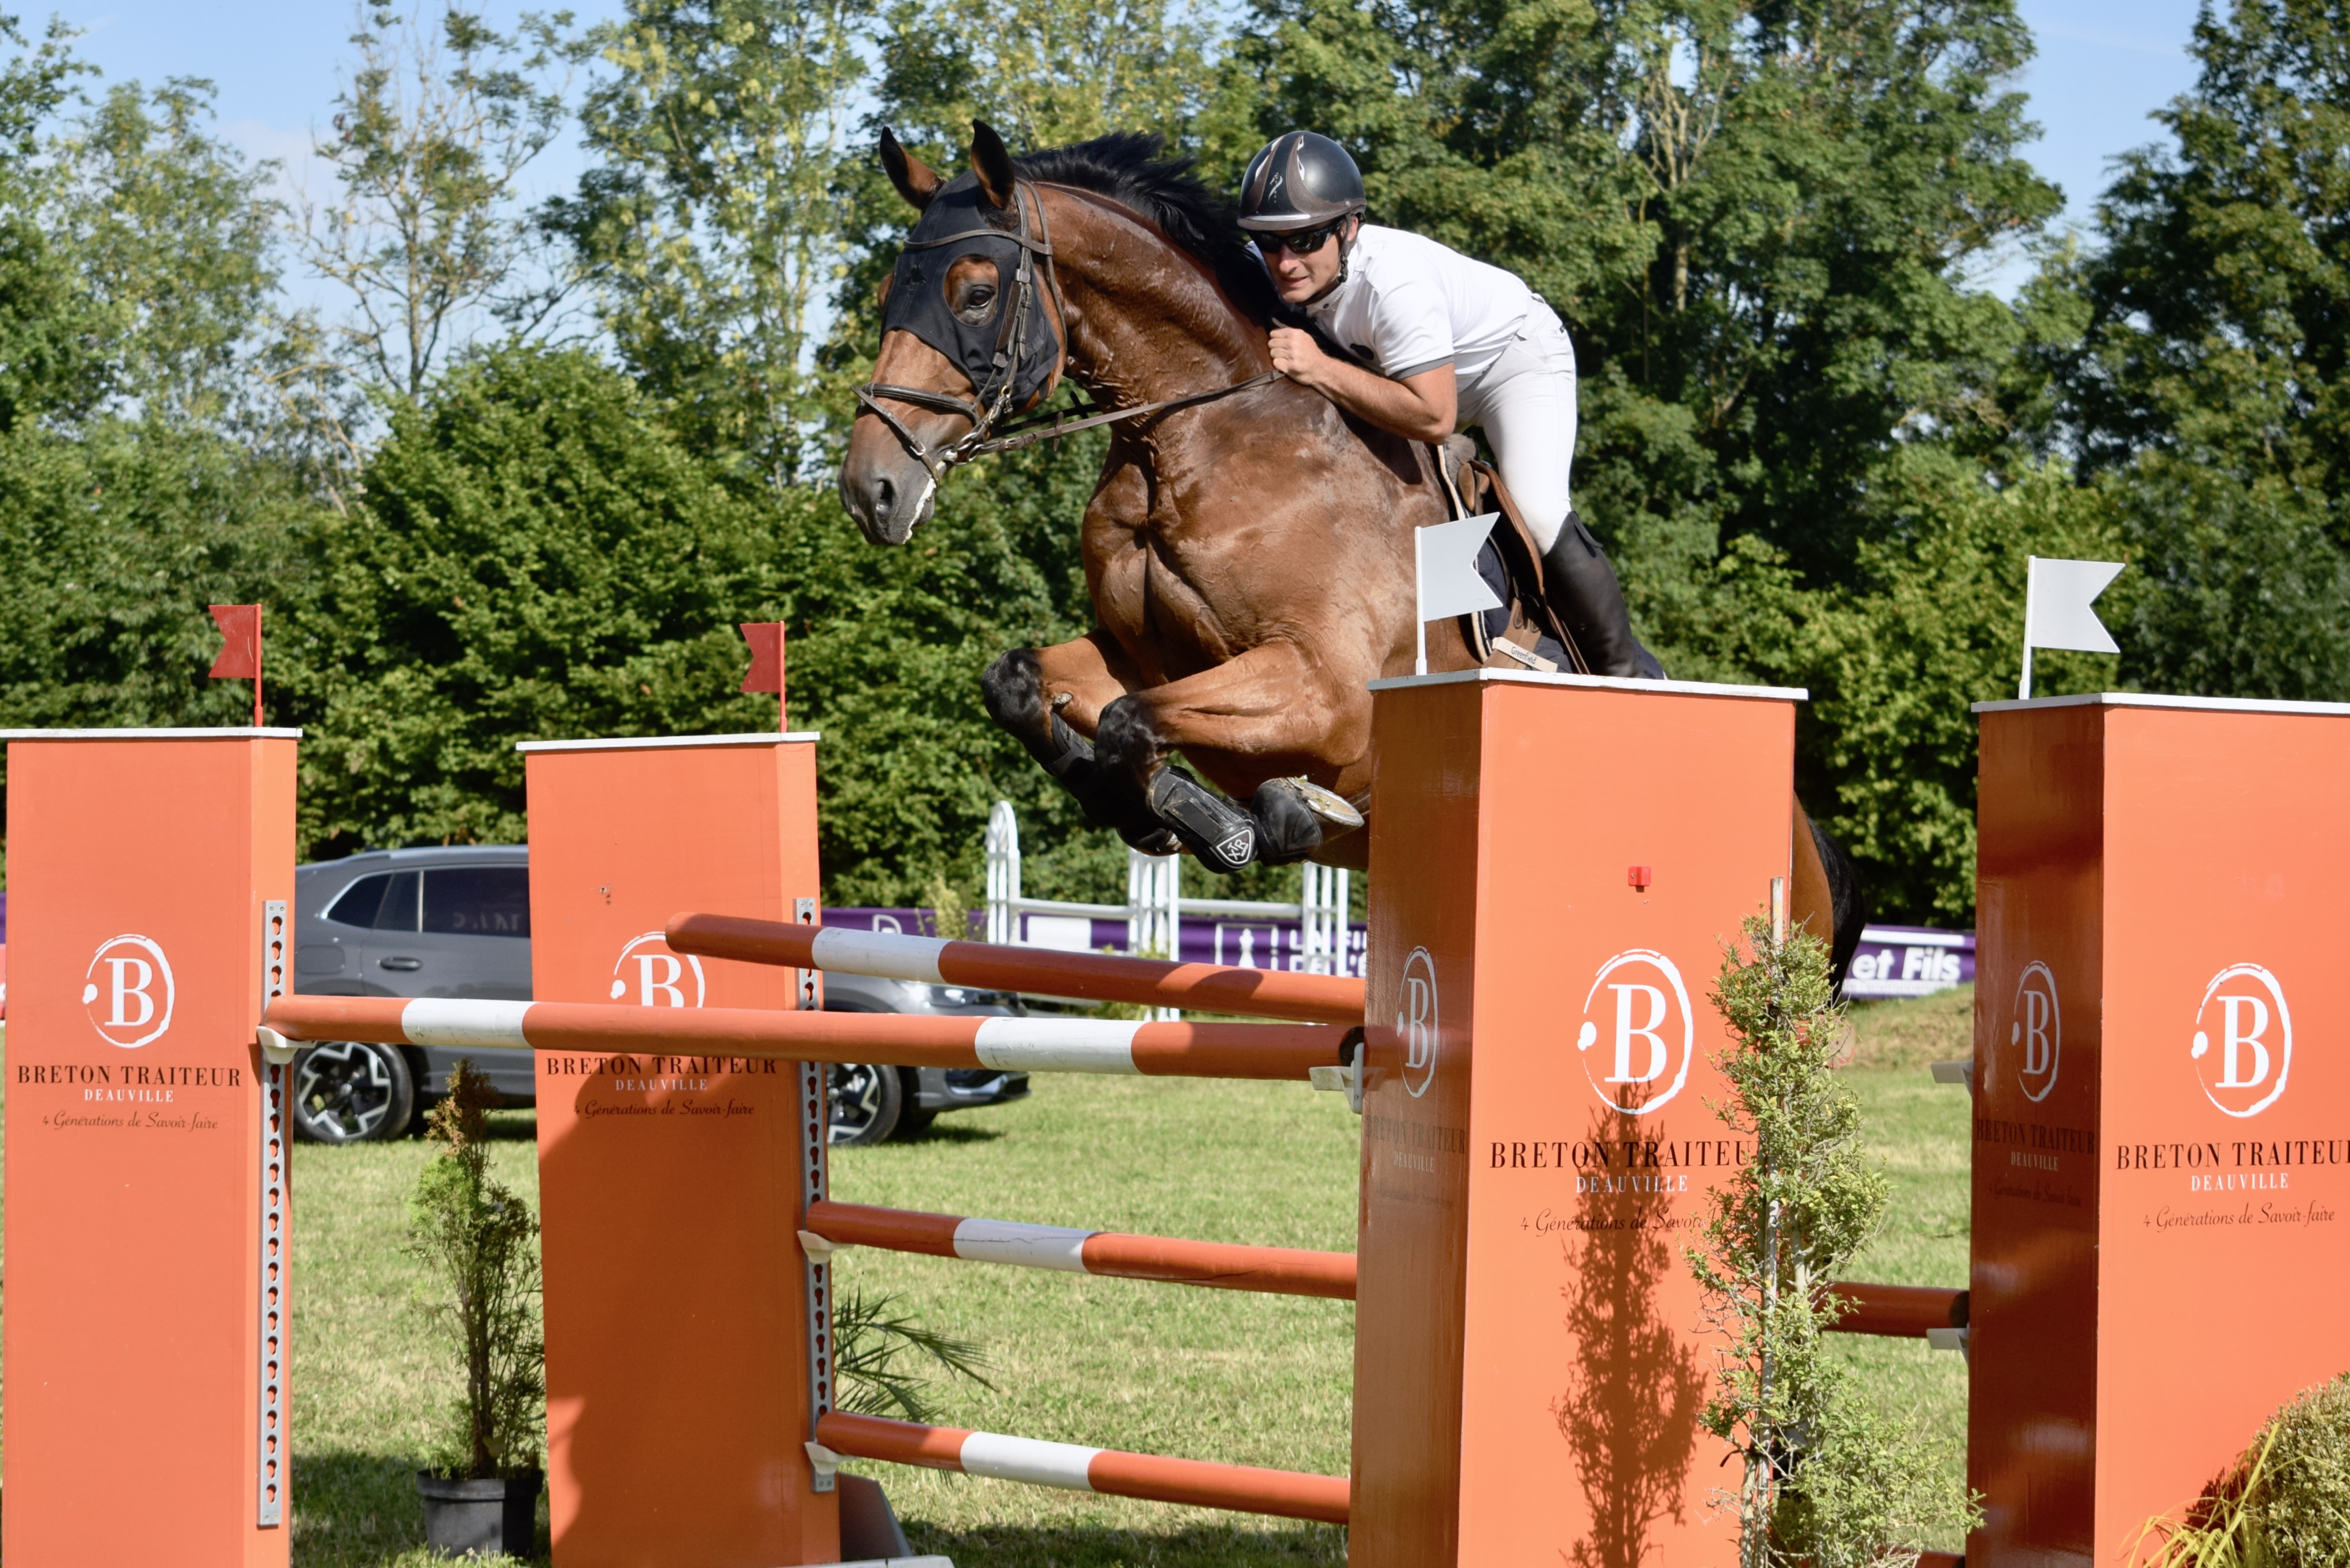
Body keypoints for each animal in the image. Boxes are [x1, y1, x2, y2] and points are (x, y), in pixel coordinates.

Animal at [836, 123, 1863, 976]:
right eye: (890, 293)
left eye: (974, 292)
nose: (869, 489)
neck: (1194, 437)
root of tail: (1811, 849)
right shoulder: (1139, 654)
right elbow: (1026, 685)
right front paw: (1183, 817)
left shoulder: (1324, 692)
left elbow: (1133, 722)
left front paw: (1227, 822)